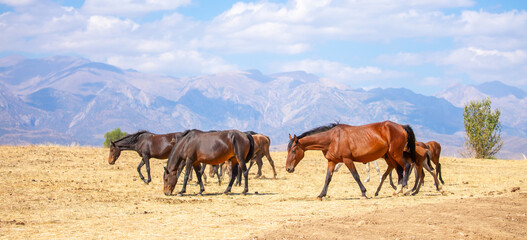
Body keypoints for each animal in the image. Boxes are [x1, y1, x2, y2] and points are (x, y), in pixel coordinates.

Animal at [286, 121, 414, 200]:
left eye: (293, 150)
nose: (288, 168)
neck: (332, 139)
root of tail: (401, 126)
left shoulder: (347, 160)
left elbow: (356, 176)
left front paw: (364, 193)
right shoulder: (332, 162)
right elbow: (328, 178)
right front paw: (321, 195)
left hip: (396, 153)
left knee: (407, 166)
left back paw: (405, 189)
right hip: (391, 155)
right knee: (399, 170)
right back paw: (398, 190)